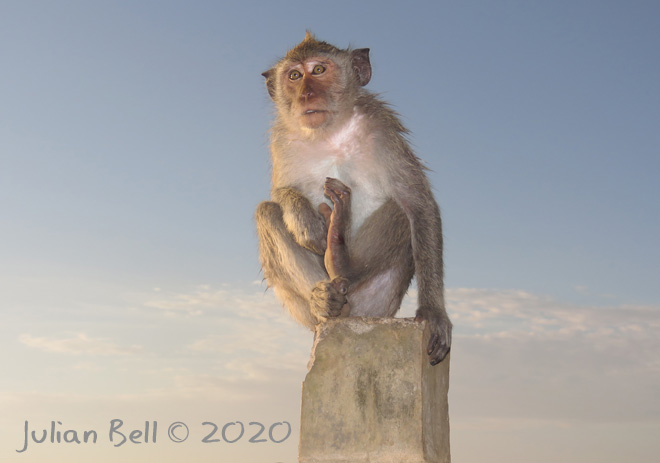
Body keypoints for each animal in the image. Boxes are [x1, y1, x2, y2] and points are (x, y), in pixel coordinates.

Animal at [256, 32, 451, 365]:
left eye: (319, 70)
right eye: (294, 76)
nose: (306, 95)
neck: (329, 133)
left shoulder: (382, 129)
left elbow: (418, 204)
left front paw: (434, 313)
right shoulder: (281, 140)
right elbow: (279, 192)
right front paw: (303, 217)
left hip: (377, 302)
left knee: (400, 211)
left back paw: (340, 260)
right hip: (306, 313)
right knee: (266, 212)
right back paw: (325, 300)